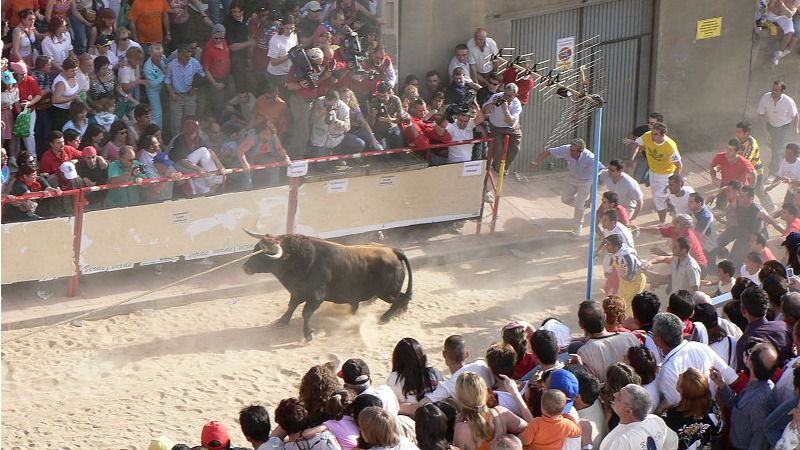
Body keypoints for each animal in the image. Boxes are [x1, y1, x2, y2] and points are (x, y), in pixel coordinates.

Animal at [242, 234, 412, 340]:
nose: (245, 267)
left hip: (387, 292)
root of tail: (393, 250)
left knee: (400, 297)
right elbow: (292, 306)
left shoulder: (316, 296)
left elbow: (306, 312)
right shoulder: (298, 292)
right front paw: (282, 321)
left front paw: (308, 334)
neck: (301, 258)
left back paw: (386, 317)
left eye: (263, 253)